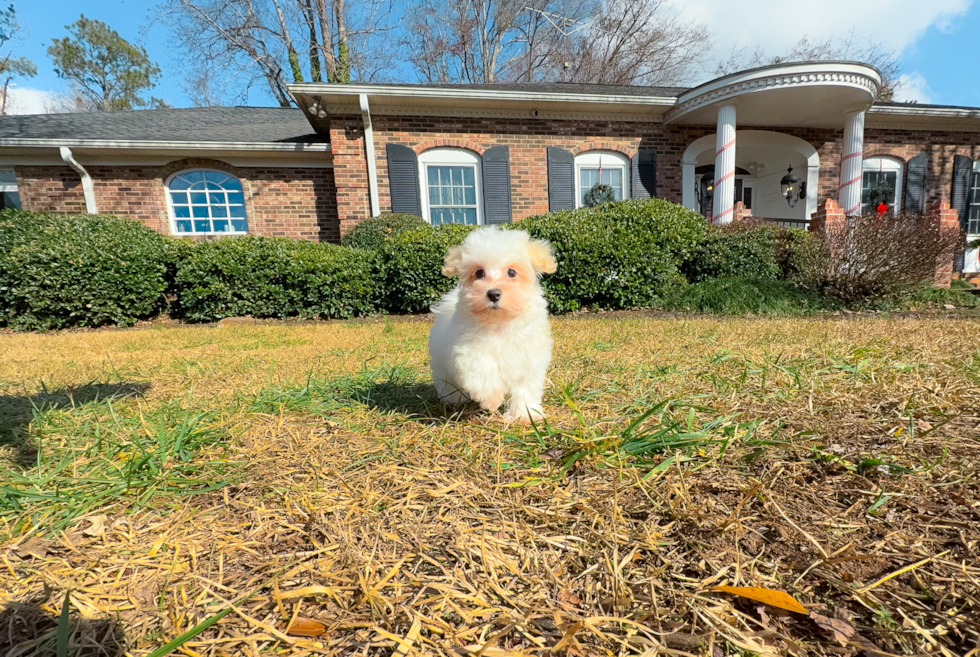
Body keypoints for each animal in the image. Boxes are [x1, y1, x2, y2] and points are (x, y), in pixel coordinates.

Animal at [430, 226, 560, 422]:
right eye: (479, 273)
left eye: (512, 272)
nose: (493, 293)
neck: (500, 322)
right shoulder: (469, 350)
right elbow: (482, 369)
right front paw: (492, 399)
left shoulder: (530, 357)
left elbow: (525, 388)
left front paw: (524, 415)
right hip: (440, 363)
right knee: (446, 380)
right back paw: (454, 397)